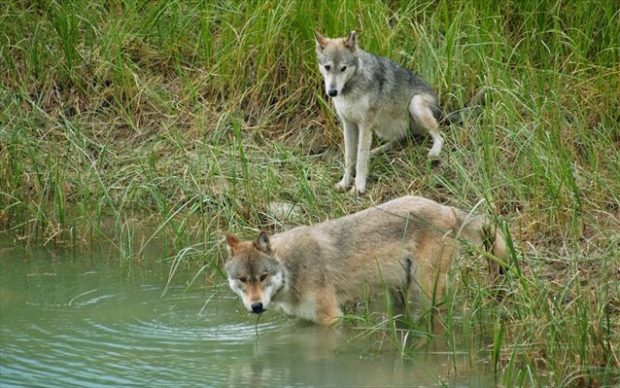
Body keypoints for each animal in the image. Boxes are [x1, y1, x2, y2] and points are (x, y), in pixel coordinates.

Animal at [223, 196, 504, 326]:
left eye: (263, 277)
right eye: (242, 280)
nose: (256, 306)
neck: (292, 270)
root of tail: (446, 207)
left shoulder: (332, 319)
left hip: (426, 289)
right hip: (398, 291)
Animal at [314, 31, 484, 194]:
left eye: (343, 68)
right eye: (327, 67)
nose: (332, 92)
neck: (350, 88)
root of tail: (440, 107)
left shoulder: (364, 125)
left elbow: (361, 158)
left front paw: (359, 187)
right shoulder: (348, 124)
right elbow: (349, 158)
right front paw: (344, 183)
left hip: (415, 104)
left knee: (439, 136)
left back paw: (434, 152)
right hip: (382, 128)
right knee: (399, 140)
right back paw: (375, 151)